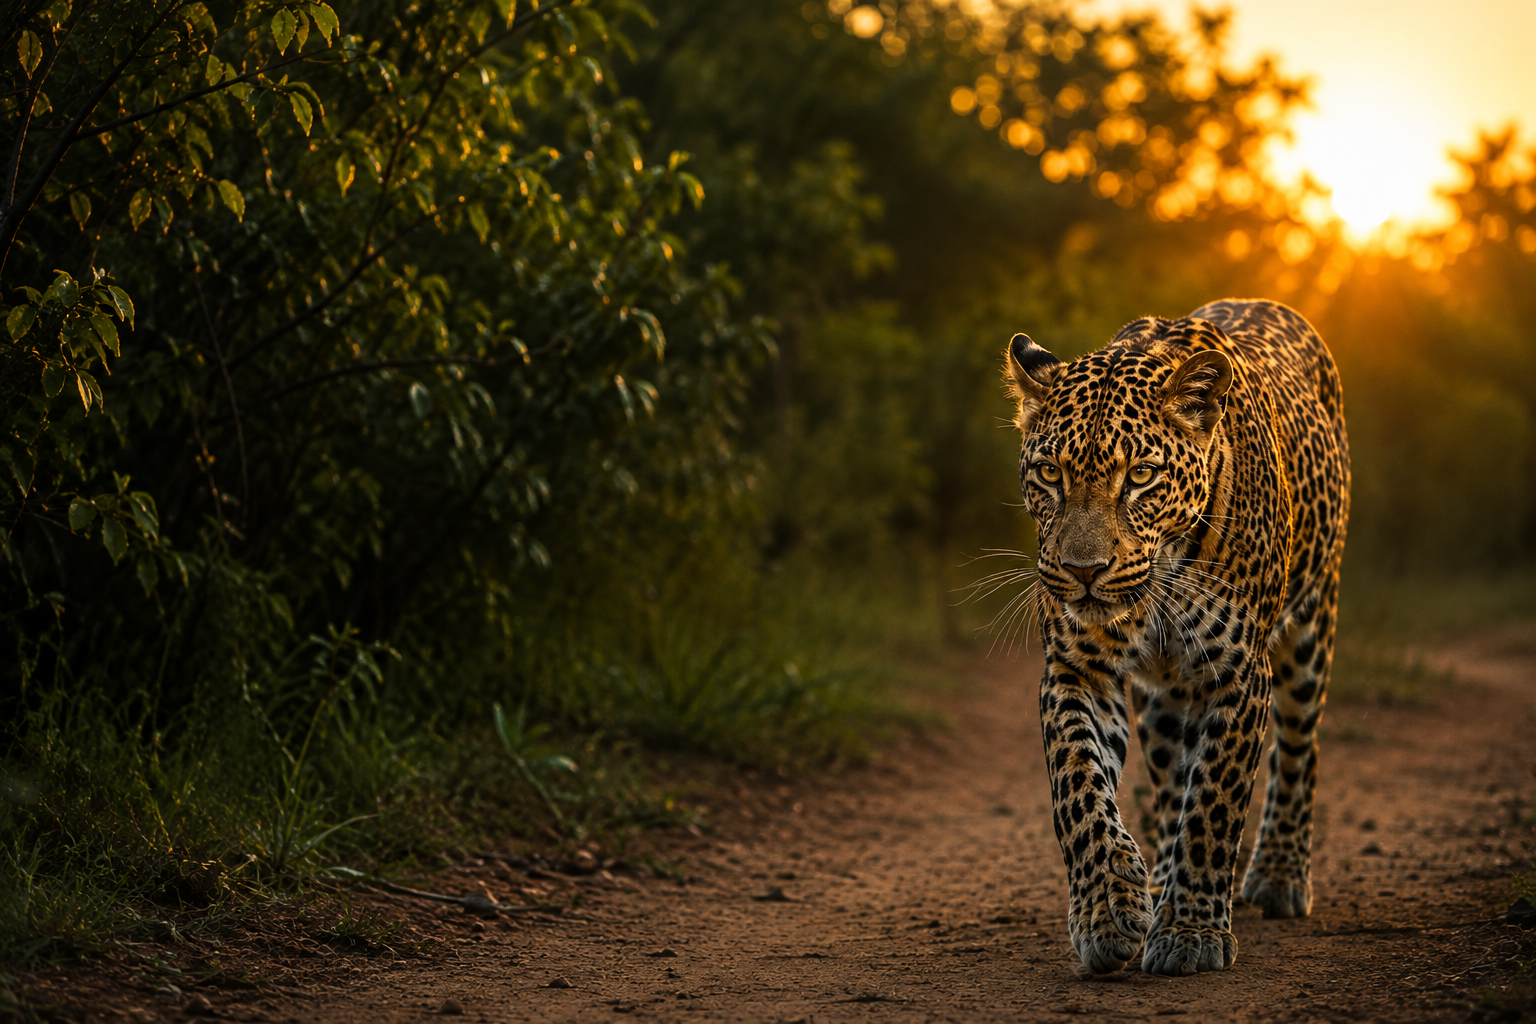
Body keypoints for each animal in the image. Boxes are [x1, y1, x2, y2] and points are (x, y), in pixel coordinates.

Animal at [1002, 298, 1349, 976]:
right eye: (1050, 473)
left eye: (1140, 476)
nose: (1084, 572)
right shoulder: (1076, 668)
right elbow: (1078, 786)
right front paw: (1109, 910)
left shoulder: (1239, 674)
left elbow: (1214, 802)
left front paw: (1191, 932)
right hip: (1162, 697)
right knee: (1169, 778)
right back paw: (1156, 881)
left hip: (1311, 623)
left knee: (1298, 747)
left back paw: (1279, 874)